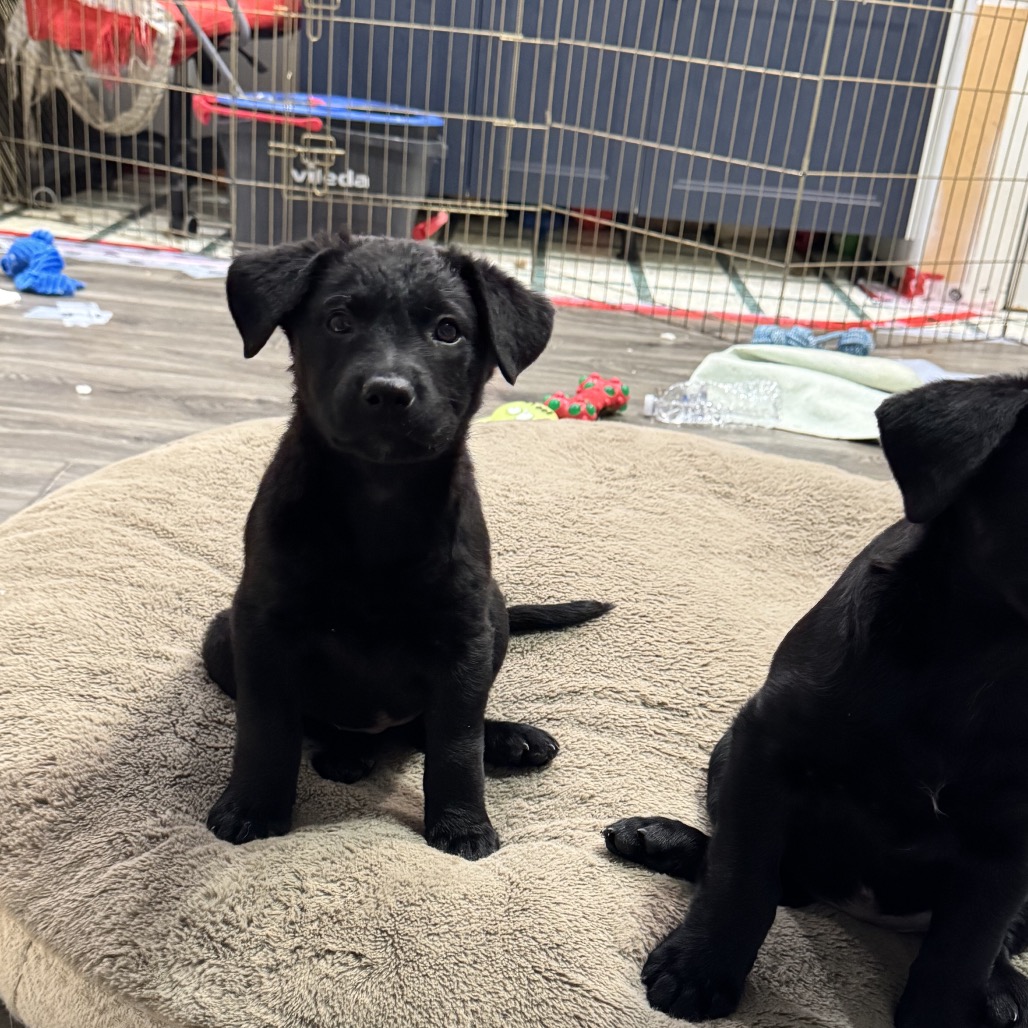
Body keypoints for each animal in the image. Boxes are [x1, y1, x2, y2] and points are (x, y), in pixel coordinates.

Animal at [202, 233, 610, 860]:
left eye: (447, 330)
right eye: (338, 321)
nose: (389, 393)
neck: (380, 497)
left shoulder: (465, 636)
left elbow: (455, 744)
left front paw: (463, 825)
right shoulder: (263, 627)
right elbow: (267, 728)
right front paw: (251, 808)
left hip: (494, 614)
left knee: (429, 727)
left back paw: (508, 740)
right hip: (223, 635)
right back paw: (347, 753)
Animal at [606, 374, 1028, 1026]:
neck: (977, 667)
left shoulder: (1008, 841)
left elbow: (965, 948)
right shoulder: (766, 747)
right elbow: (743, 876)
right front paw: (701, 969)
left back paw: (1004, 990)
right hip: (727, 756)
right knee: (769, 872)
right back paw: (660, 838)